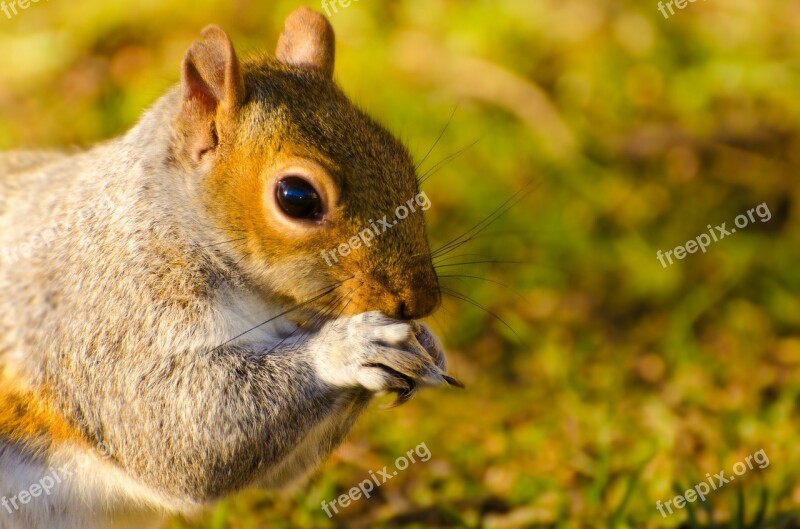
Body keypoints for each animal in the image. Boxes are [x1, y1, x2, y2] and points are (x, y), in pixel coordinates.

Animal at [0, 7, 460, 528]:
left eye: (401, 160)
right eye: (297, 197)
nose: (422, 300)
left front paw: (427, 343)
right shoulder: (108, 321)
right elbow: (185, 431)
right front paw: (352, 347)